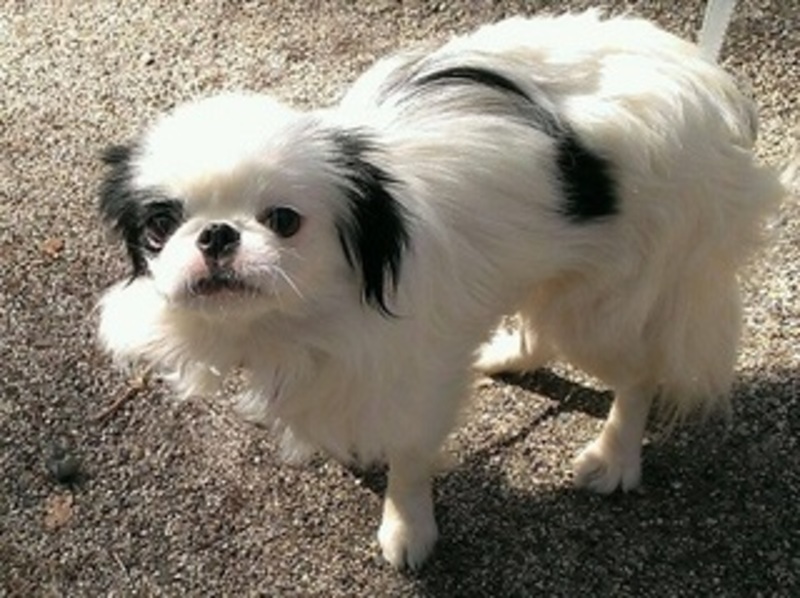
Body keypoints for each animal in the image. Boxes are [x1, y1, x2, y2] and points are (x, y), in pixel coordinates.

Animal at [96, 11, 783, 569]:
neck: (301, 311)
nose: (216, 233)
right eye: (160, 225)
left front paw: (408, 529)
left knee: (638, 373)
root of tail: (702, 78)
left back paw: (615, 458)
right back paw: (509, 357)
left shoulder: (415, 377)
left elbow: (408, 457)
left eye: (283, 220)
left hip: (602, 306)